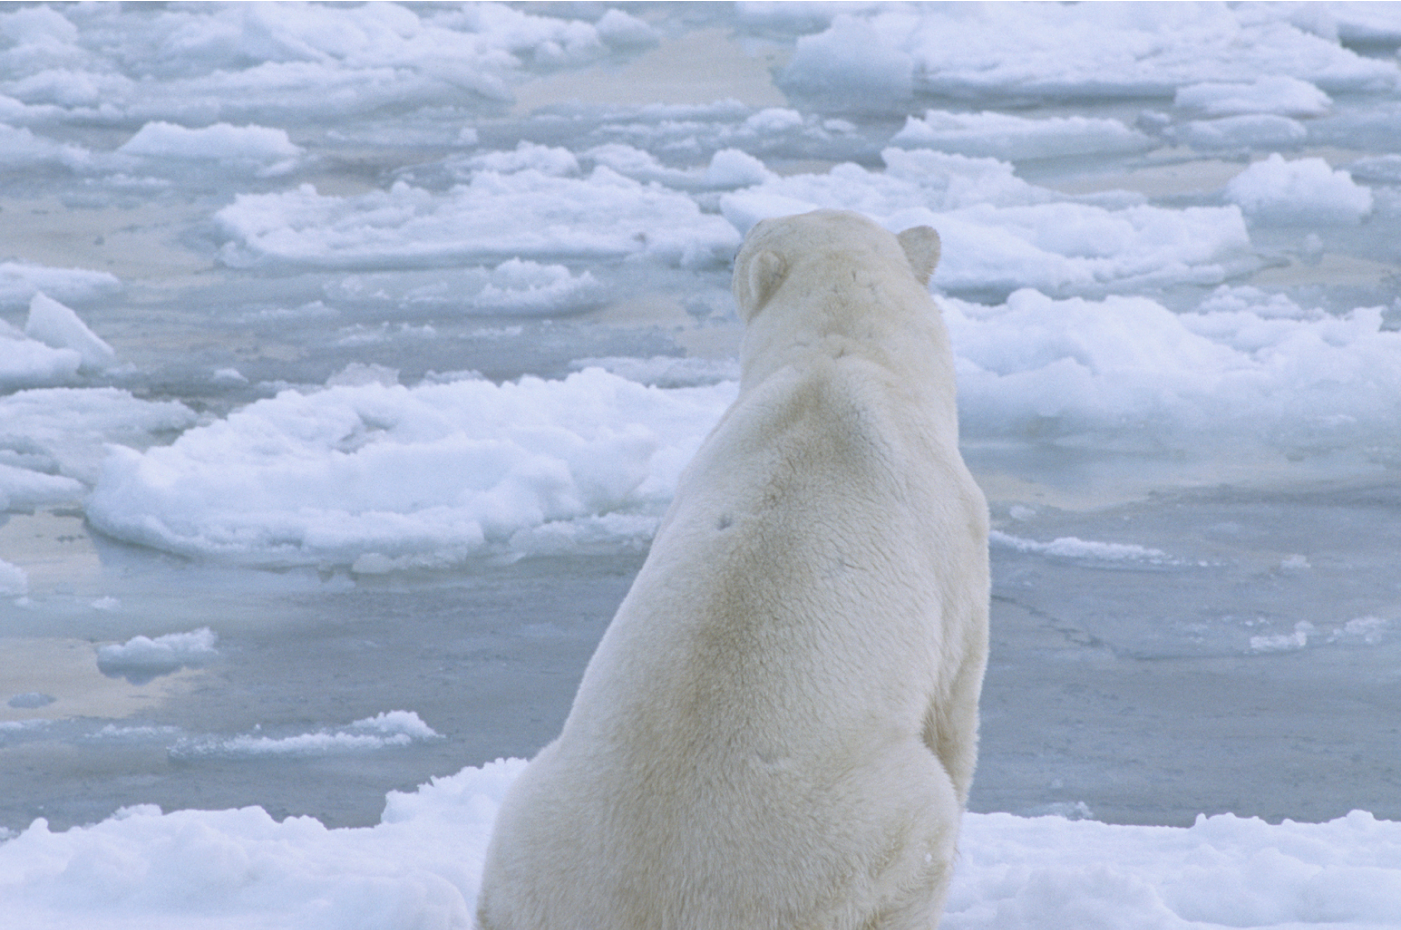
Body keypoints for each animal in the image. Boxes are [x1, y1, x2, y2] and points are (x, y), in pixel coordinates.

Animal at [476, 209, 990, 930]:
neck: (837, 357)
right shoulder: (953, 536)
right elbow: (953, 711)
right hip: (845, 842)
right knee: (921, 821)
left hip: (536, 822)